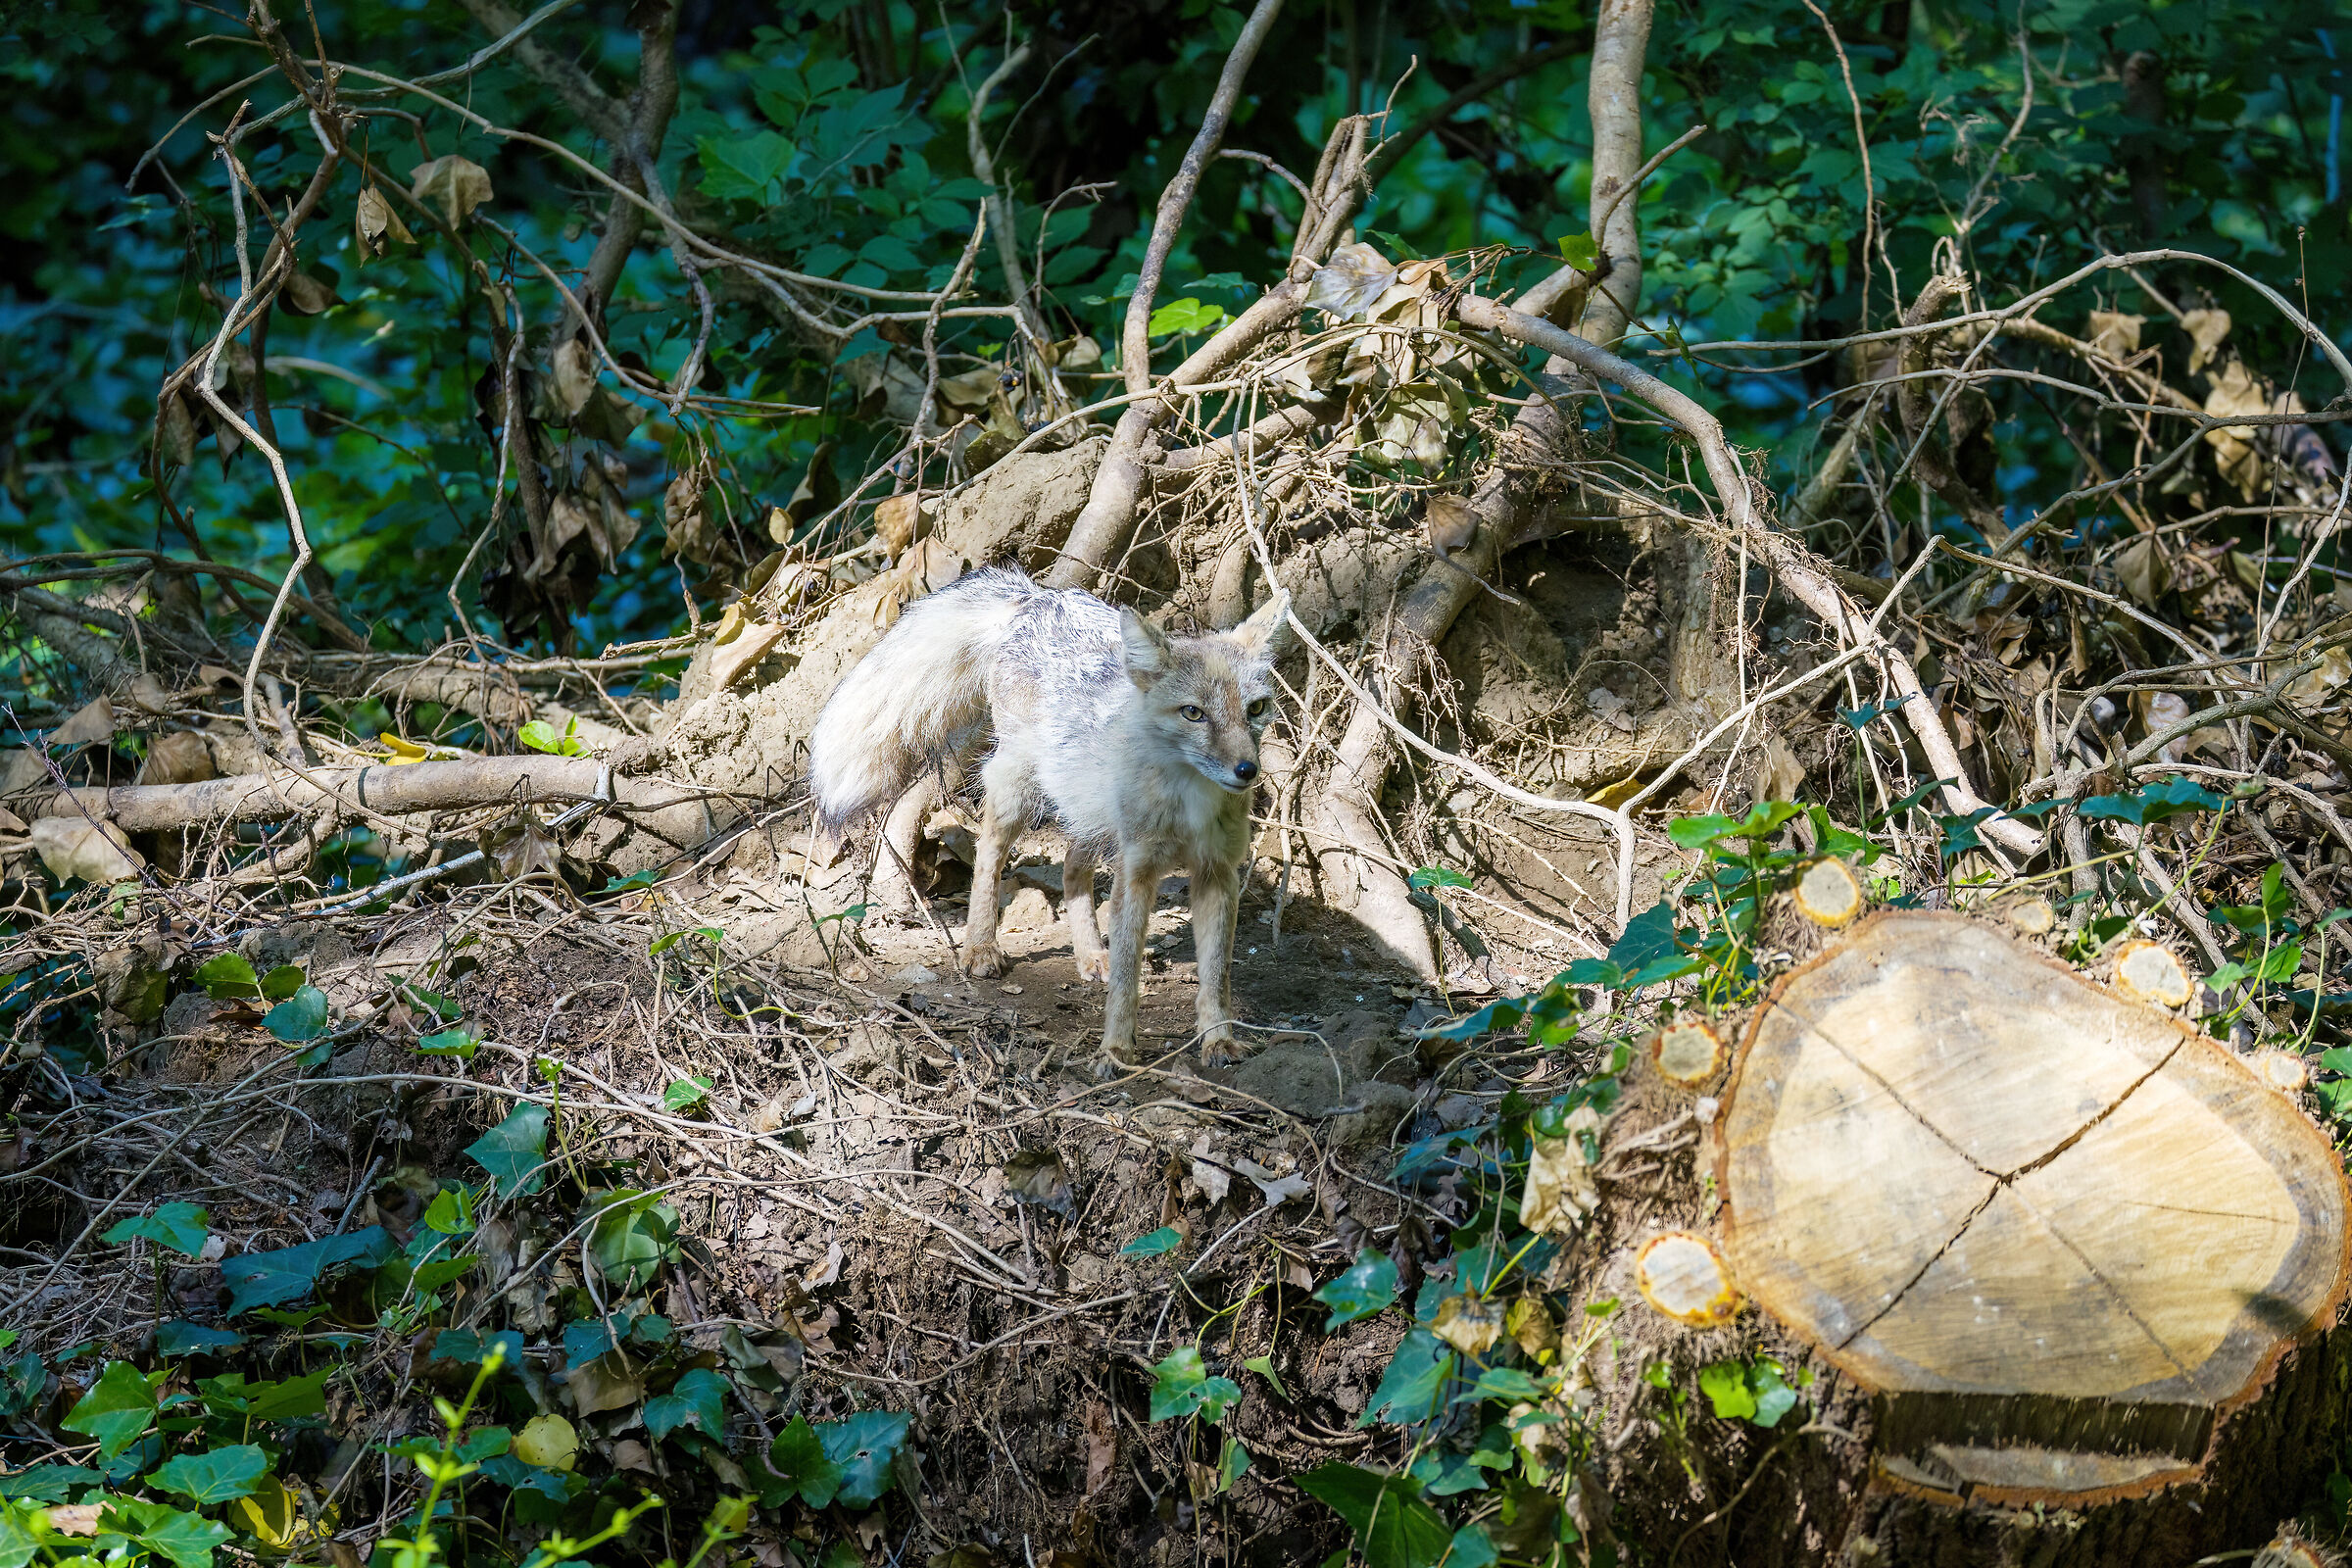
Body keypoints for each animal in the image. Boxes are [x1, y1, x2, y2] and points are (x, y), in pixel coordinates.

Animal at [808, 567, 1291, 1067]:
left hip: (1088, 814)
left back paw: (1091, 952)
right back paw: (981, 946)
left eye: (1256, 708)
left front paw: (1216, 1038)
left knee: (1074, 872)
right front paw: (1116, 1049)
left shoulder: (1217, 873)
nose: (1247, 770)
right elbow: (1128, 978)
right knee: (988, 854)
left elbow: (1216, 975)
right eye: (1194, 713)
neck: (1189, 806)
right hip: (1018, 793)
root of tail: (1038, 596)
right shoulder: (1137, 871)